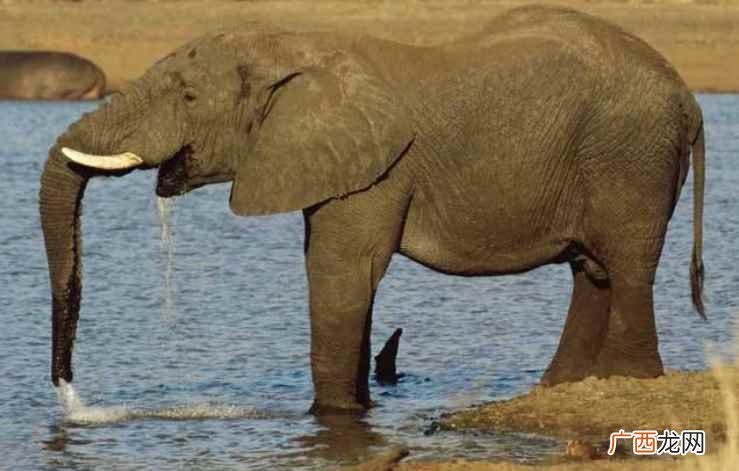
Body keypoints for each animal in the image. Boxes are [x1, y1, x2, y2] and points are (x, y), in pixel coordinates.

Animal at [39, 4, 706, 415]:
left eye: (188, 96)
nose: (67, 394)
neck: (299, 45)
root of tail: (690, 96)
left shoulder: (378, 168)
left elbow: (342, 272)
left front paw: (330, 413)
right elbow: (340, 271)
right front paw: (356, 410)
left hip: (630, 156)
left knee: (627, 264)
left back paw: (630, 381)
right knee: (592, 271)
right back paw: (564, 386)